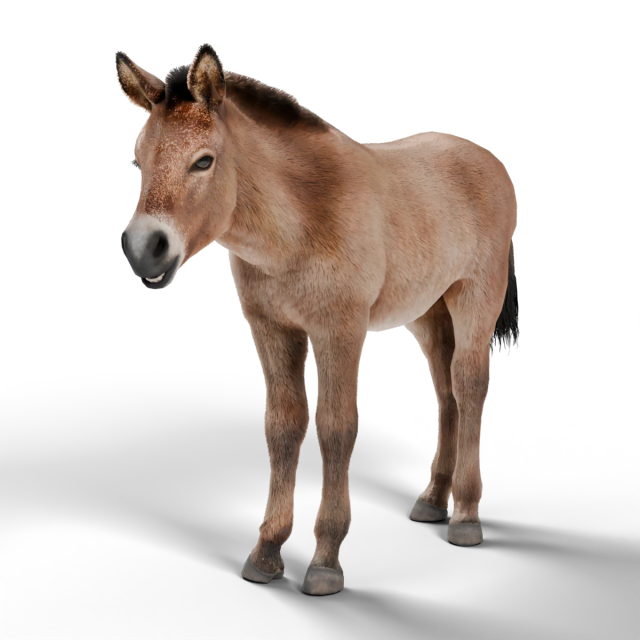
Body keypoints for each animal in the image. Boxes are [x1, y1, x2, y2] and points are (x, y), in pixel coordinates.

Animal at [116, 43, 520, 595]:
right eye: (138, 160)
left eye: (203, 161)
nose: (144, 251)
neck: (301, 219)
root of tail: (489, 158)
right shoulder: (272, 330)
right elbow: (283, 427)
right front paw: (267, 551)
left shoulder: (339, 330)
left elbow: (335, 428)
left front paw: (325, 558)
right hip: (428, 312)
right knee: (447, 394)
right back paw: (434, 499)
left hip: (475, 299)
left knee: (470, 386)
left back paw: (465, 515)